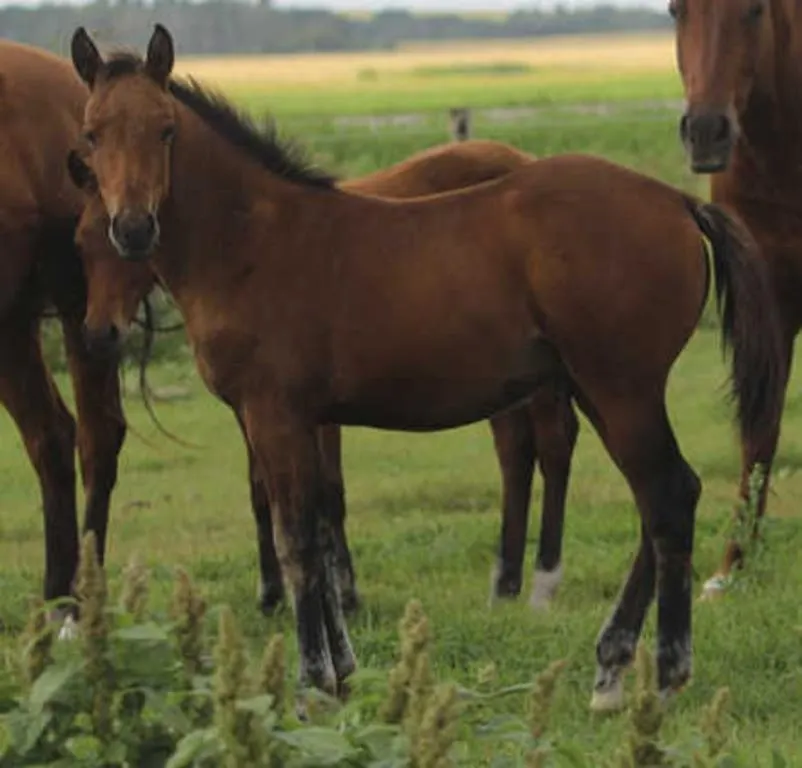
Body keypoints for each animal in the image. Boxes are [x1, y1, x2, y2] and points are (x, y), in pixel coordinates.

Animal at [74, 137, 580, 615]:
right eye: (81, 244)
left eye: (122, 248)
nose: (99, 333)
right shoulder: (257, 408)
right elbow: (264, 490)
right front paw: (274, 592)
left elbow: (328, 492)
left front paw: (343, 592)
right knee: (516, 451)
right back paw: (505, 582)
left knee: (551, 444)